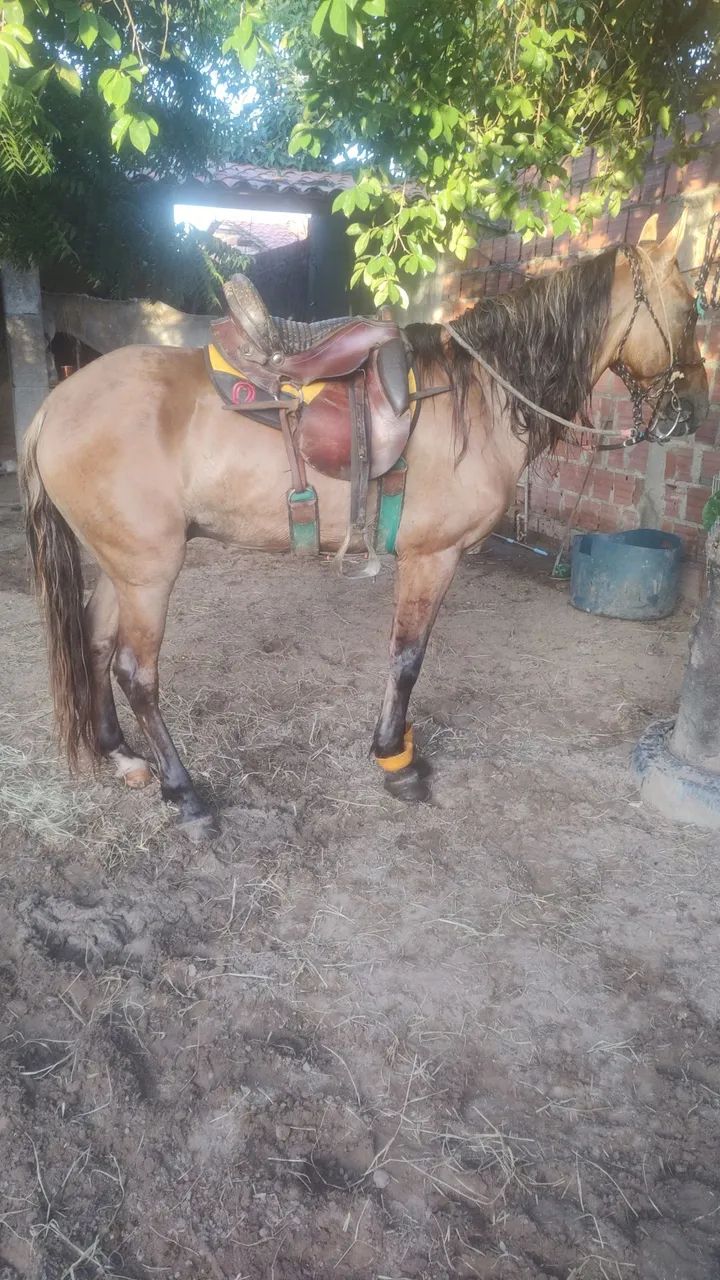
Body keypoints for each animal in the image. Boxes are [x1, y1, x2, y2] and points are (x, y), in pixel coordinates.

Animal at [20, 211, 708, 840]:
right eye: (689, 311)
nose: (695, 409)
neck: (476, 398)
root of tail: (54, 405)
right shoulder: (433, 556)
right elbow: (408, 657)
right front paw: (397, 762)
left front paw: (398, 748)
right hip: (149, 572)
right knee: (136, 673)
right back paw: (185, 795)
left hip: (122, 566)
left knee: (94, 641)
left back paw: (123, 756)